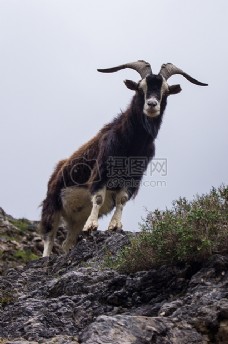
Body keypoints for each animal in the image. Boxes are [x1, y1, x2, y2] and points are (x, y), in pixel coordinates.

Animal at [38, 60, 207, 256]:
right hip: (52, 206)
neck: (131, 143)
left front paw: (115, 226)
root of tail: (57, 169)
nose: (151, 104)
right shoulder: (102, 170)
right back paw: (46, 256)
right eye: (140, 88)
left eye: (165, 91)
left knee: (67, 242)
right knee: (49, 237)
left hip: (75, 218)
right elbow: (98, 197)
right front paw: (92, 226)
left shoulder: (133, 176)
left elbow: (122, 199)